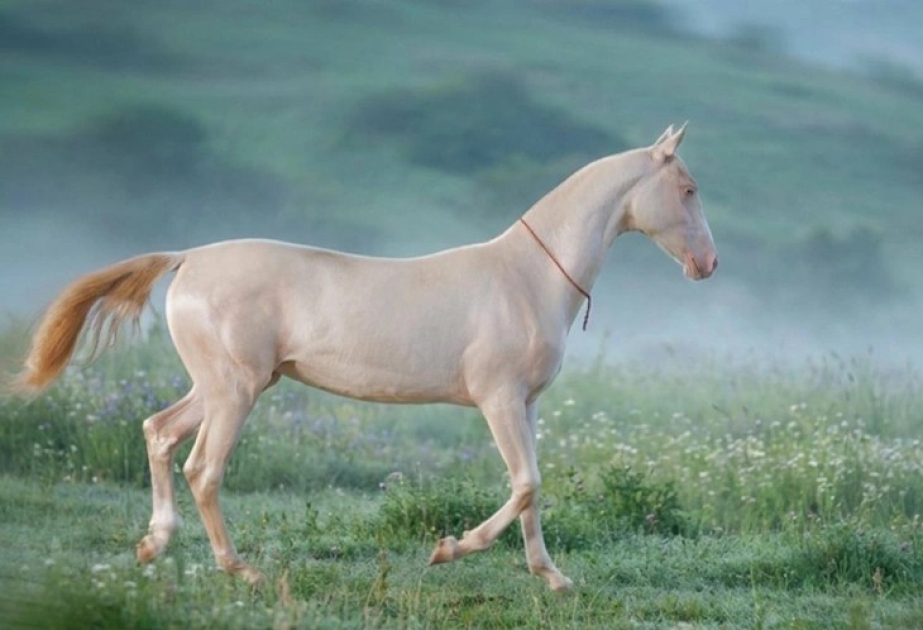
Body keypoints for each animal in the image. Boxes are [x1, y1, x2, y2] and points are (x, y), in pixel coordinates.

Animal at [13, 123, 716, 591]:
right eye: (687, 188)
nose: (707, 264)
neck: (527, 278)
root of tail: (188, 259)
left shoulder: (528, 406)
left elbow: (532, 491)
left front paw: (551, 577)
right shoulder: (497, 401)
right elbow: (526, 484)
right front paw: (448, 550)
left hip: (223, 386)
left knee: (159, 433)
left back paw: (154, 545)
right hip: (235, 391)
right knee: (203, 468)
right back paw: (241, 569)